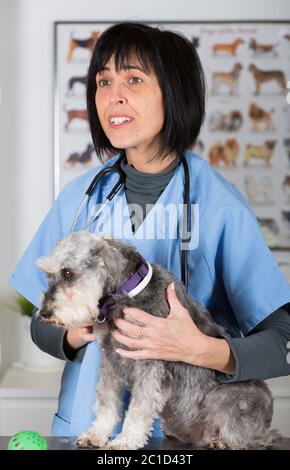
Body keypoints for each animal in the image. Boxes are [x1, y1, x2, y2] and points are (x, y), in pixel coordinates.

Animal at [37, 231, 280, 452]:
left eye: (68, 272)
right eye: (48, 274)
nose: (44, 313)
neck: (127, 293)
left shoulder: (150, 365)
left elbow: (139, 407)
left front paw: (126, 440)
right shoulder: (111, 360)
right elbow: (106, 401)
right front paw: (96, 434)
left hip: (230, 399)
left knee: (254, 436)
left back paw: (227, 441)